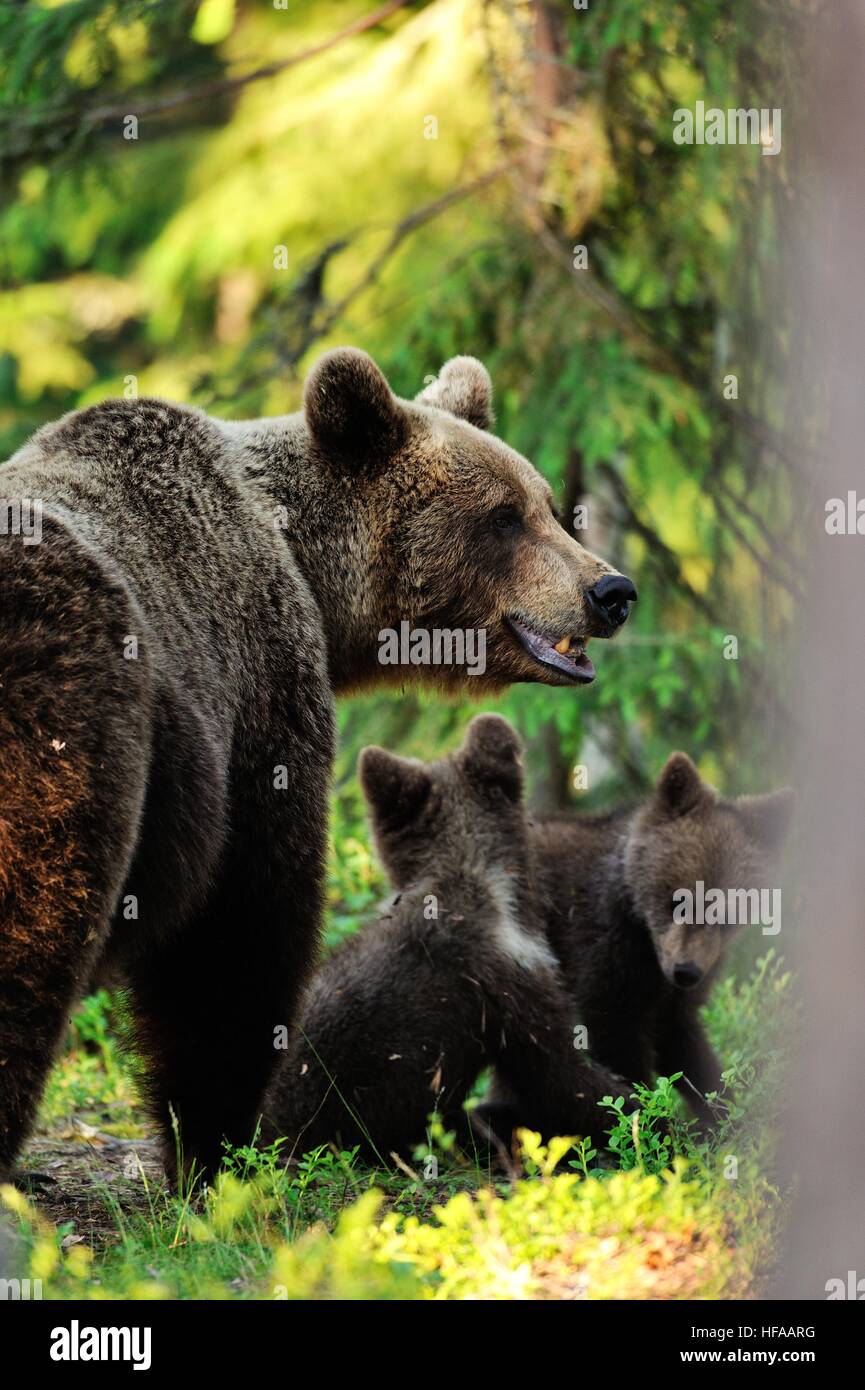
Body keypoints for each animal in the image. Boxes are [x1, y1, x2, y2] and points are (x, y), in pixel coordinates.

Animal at [481, 750, 795, 1137]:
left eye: (728, 913)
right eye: (679, 899)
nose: (685, 971)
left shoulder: (681, 983)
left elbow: (681, 1040)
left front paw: (727, 1113)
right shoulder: (603, 946)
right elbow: (616, 1038)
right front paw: (646, 1123)